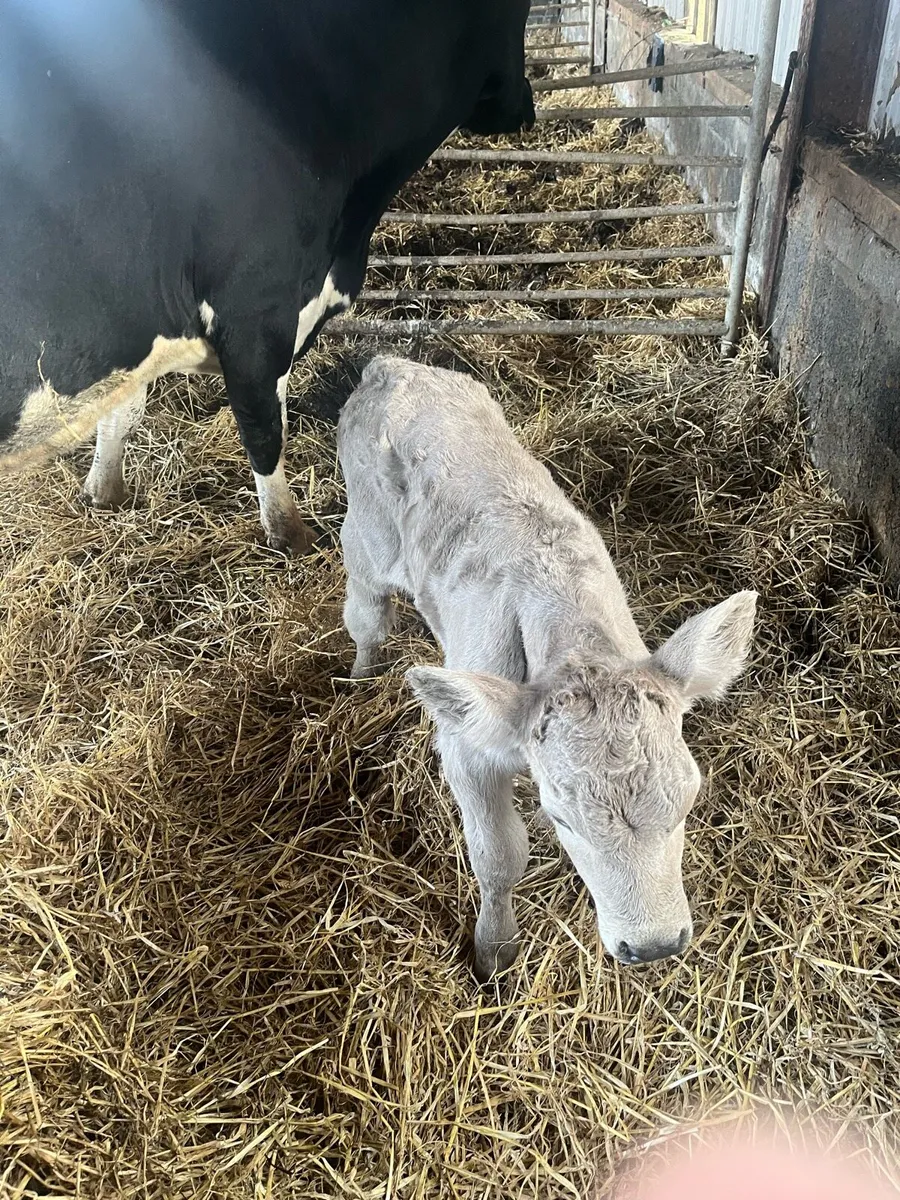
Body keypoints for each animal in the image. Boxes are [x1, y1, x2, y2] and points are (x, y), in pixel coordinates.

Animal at [0, 0, 534, 552]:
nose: (527, 106)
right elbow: (264, 430)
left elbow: (121, 409)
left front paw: (104, 492)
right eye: (522, 14)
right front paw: (291, 534)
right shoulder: (257, 311)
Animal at [337, 357, 758, 982]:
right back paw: (363, 674)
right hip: (364, 540)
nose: (654, 947)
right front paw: (495, 948)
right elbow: (498, 857)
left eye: (688, 800)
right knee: (367, 617)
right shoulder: (466, 749)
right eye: (563, 820)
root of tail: (391, 365)